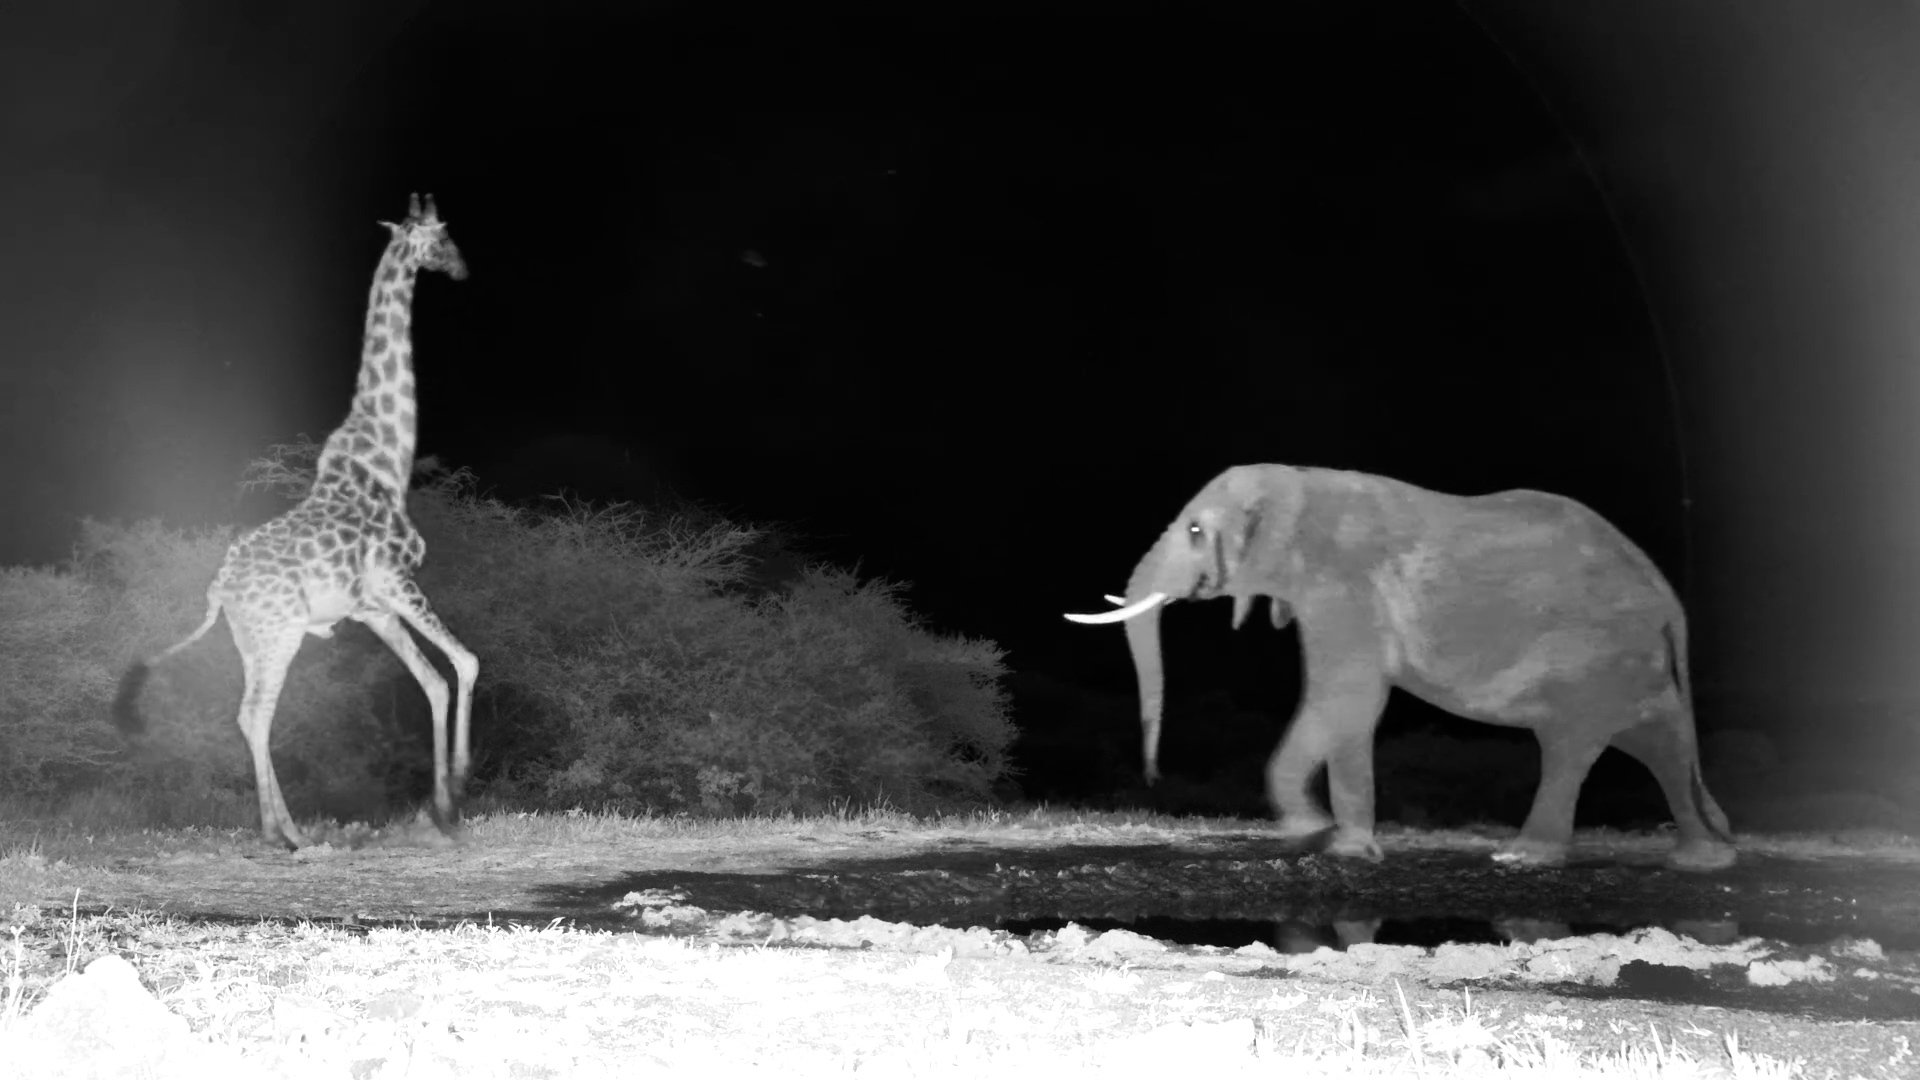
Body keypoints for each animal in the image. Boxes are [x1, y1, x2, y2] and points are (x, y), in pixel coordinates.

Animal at [113, 193, 478, 849]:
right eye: (442, 235)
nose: (461, 269)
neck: (387, 457)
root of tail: (218, 590)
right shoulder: (399, 581)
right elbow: (465, 663)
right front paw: (458, 786)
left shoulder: (373, 607)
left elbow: (434, 683)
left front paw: (443, 806)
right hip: (279, 634)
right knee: (256, 713)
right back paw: (283, 834)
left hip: (252, 639)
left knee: (249, 714)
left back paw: (285, 829)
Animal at [1065, 464, 1736, 872]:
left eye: (1197, 529)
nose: (1152, 775)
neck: (1297, 482)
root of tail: (1667, 595)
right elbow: (1344, 707)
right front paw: (1337, 844)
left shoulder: (1344, 586)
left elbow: (1346, 699)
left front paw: (1323, 839)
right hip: (1629, 662)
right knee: (1658, 741)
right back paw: (1703, 859)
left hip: (1594, 655)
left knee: (1574, 745)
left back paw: (1523, 858)